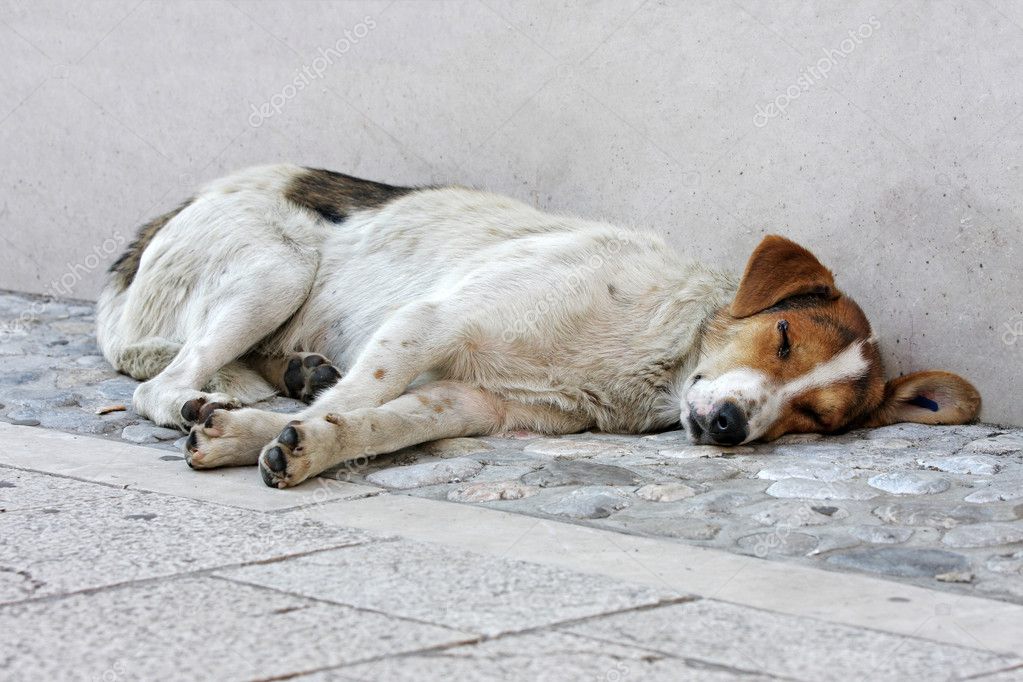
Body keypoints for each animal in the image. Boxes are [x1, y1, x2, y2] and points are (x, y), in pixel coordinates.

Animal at [97, 162, 982, 488]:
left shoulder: (469, 402)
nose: (731, 424)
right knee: (161, 383)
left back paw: (280, 381)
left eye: (813, 419)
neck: (655, 357)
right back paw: (211, 399)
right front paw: (283, 437)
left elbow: (375, 422)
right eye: (783, 338)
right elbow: (356, 401)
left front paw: (287, 441)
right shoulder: (431, 319)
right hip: (272, 272)